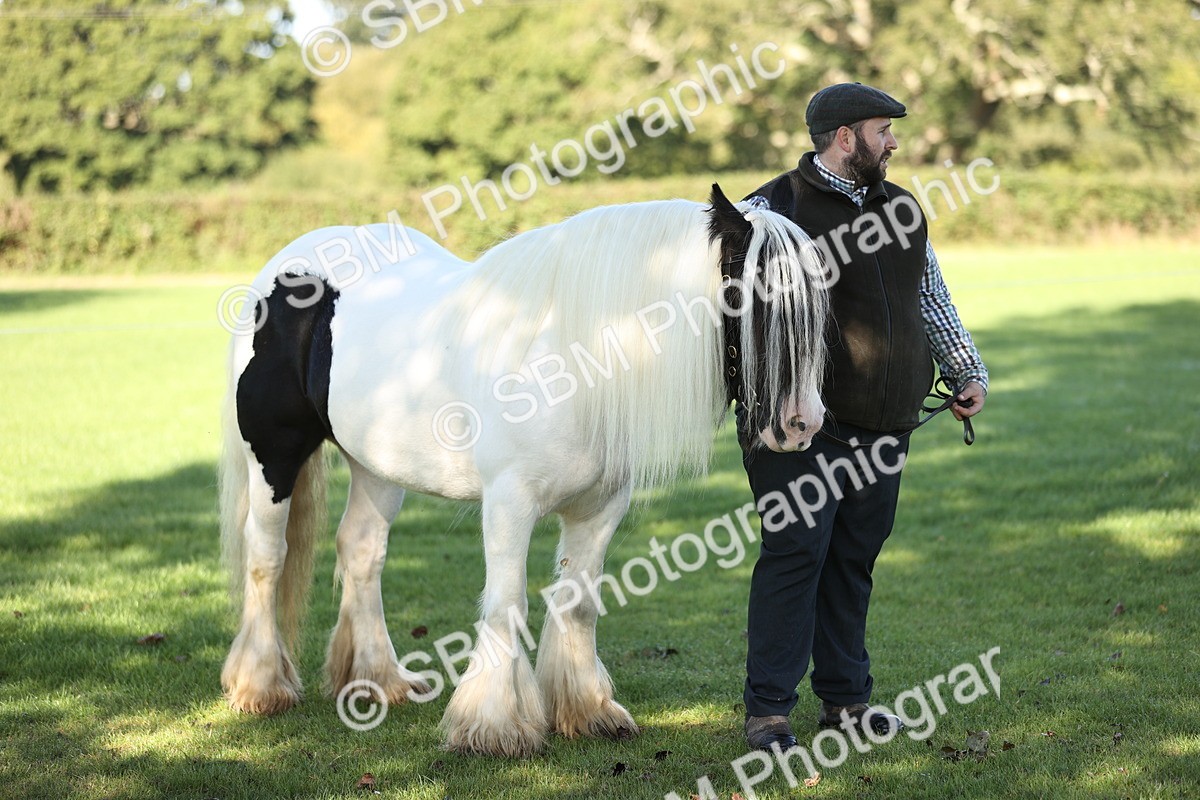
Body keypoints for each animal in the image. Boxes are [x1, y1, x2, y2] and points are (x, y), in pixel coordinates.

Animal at [217, 184, 829, 757]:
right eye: (755, 297)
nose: (802, 424)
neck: (573, 360)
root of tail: (290, 264)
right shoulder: (509, 502)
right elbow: (507, 602)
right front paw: (493, 726)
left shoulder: (600, 507)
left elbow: (577, 602)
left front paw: (588, 712)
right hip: (273, 457)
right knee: (267, 557)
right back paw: (261, 687)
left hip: (375, 467)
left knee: (362, 550)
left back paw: (378, 681)